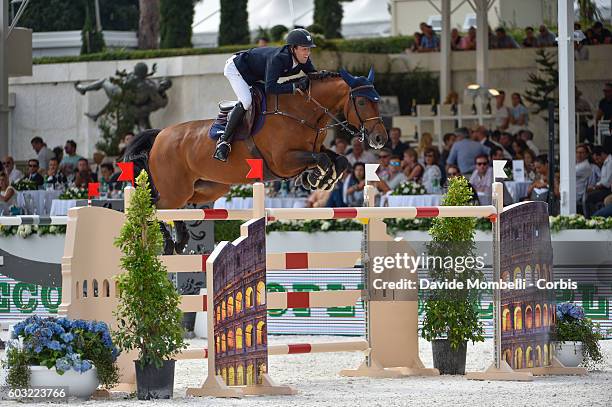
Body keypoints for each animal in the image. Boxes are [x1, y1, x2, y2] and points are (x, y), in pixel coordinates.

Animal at [125, 67, 388, 252]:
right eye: (362, 101)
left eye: (378, 99)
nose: (380, 138)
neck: (302, 113)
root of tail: (160, 134)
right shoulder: (283, 161)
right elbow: (321, 159)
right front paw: (314, 178)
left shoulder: (313, 149)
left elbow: (338, 160)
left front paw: (318, 180)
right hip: (175, 188)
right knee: (154, 205)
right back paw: (169, 243)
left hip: (205, 189)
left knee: (176, 208)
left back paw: (180, 239)